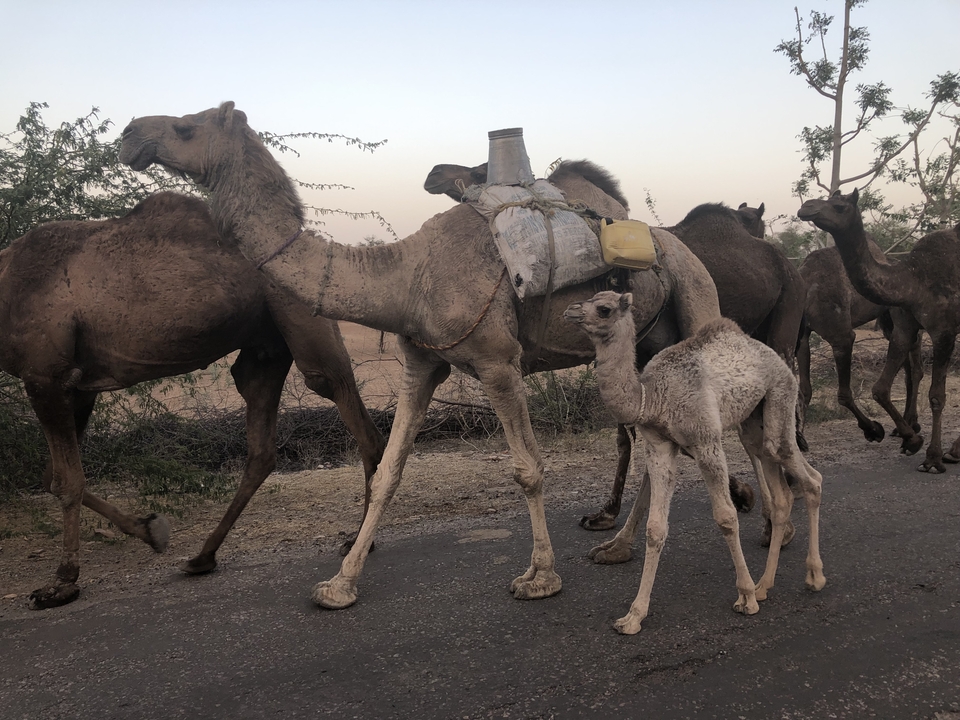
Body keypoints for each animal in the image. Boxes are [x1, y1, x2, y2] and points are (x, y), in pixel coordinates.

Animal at [0, 192, 386, 609]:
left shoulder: (46, 376)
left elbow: (66, 481)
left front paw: (61, 583)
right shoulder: (79, 385)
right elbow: (52, 477)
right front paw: (151, 529)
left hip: (303, 320)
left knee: (357, 421)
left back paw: (359, 543)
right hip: (264, 348)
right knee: (262, 449)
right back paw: (203, 556)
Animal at [119, 102, 726, 609]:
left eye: (185, 126)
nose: (129, 135)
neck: (405, 278)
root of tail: (669, 241)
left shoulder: (498, 361)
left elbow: (528, 468)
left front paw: (540, 577)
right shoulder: (422, 364)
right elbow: (389, 469)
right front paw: (340, 583)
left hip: (697, 294)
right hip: (645, 344)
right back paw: (619, 547)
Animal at [423, 164, 805, 535]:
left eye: (479, 173)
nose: (434, 175)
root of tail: (786, 261)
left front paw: (743, 494)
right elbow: (628, 434)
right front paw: (606, 513)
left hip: (768, 309)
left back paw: (780, 504)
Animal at [563, 291, 825, 635]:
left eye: (604, 308)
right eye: (589, 298)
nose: (570, 310)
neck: (652, 397)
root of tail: (775, 358)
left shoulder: (706, 441)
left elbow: (726, 517)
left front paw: (744, 597)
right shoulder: (659, 446)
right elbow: (655, 528)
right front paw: (633, 616)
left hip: (780, 397)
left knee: (811, 479)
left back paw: (813, 577)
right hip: (755, 421)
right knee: (781, 492)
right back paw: (764, 585)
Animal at [797, 245, 922, 442]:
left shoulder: (842, 338)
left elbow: (844, 395)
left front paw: (873, 429)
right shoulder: (802, 339)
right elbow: (805, 389)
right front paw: (799, 439)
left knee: (915, 367)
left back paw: (910, 424)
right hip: (889, 320)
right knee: (908, 366)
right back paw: (907, 424)